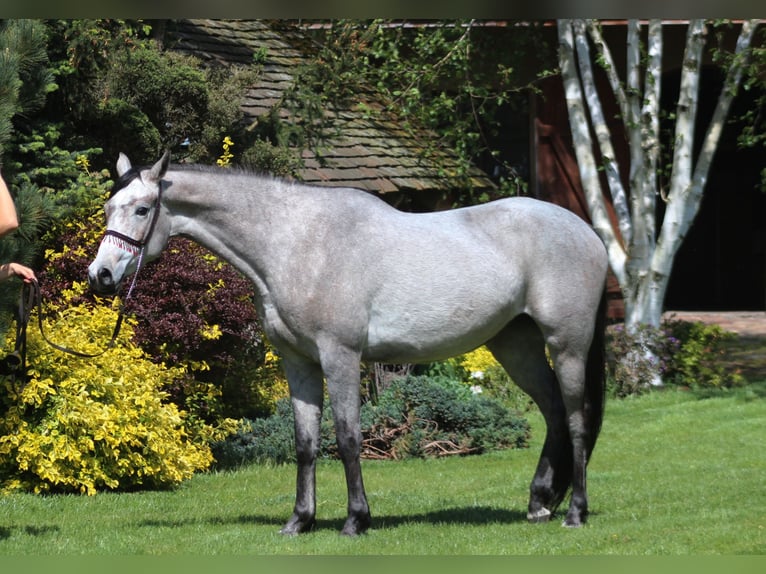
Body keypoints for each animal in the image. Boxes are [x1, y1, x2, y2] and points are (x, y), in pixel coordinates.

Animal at [85, 152, 612, 536]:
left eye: (142, 209)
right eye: (110, 207)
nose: (101, 275)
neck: (297, 243)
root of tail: (589, 233)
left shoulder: (340, 356)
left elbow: (347, 437)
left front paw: (356, 520)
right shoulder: (298, 362)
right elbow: (305, 442)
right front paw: (299, 521)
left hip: (567, 345)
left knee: (576, 419)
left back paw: (575, 512)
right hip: (516, 346)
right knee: (553, 413)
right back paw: (540, 502)